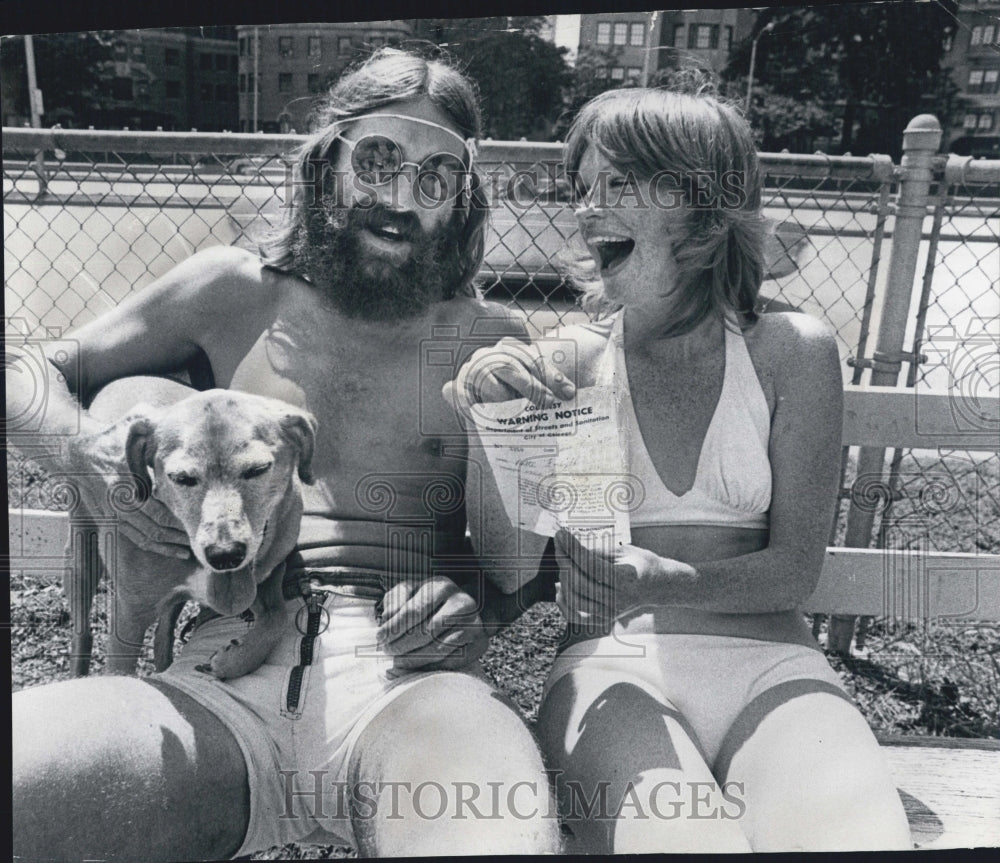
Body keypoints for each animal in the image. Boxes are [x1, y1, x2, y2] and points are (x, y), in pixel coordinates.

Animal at [68, 378, 316, 680]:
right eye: (182, 478)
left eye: (258, 469)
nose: (225, 555)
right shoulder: (128, 619)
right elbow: (119, 673)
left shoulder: (270, 571)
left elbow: (276, 617)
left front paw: (234, 660)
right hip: (82, 558)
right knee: (83, 631)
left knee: (163, 631)